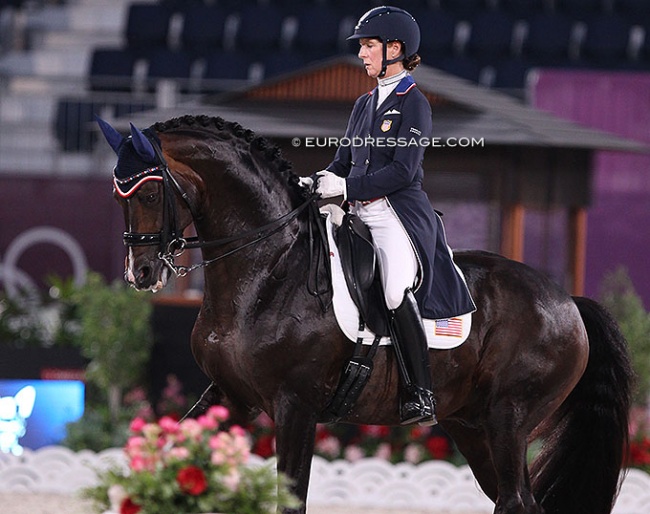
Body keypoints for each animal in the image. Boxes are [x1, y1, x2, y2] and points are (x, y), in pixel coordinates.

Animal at [98, 114, 632, 510]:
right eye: (118, 194)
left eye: (151, 193)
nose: (141, 273)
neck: (266, 269)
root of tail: (567, 301)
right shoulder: (230, 396)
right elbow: (172, 452)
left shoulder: (295, 407)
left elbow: (292, 500)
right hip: (471, 425)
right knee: (518, 501)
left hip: (510, 419)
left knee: (516, 500)